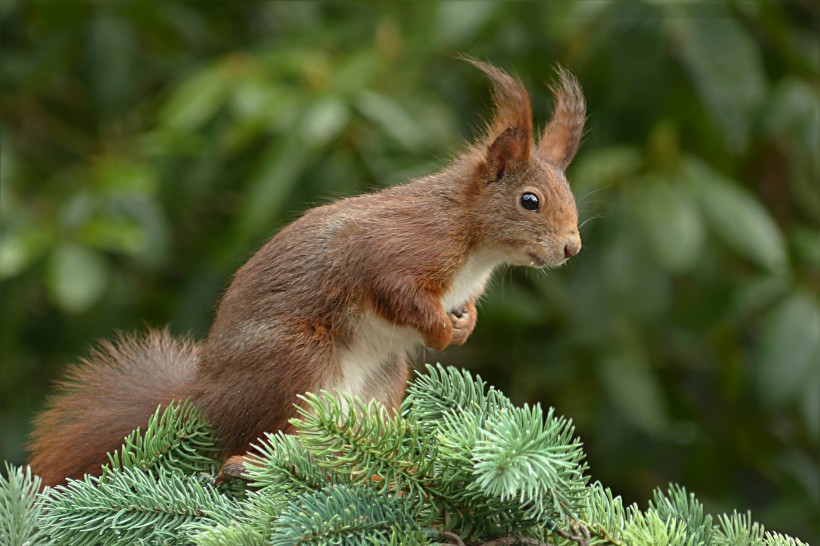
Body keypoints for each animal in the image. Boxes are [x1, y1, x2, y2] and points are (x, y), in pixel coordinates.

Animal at [28, 59, 588, 484]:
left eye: (568, 194)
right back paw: (253, 464)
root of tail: (205, 398)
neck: (475, 243)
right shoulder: (396, 251)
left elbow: (461, 309)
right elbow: (397, 294)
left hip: (382, 379)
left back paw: (377, 462)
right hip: (296, 361)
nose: (572, 247)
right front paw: (437, 331)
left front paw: (464, 326)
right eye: (530, 201)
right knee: (263, 441)